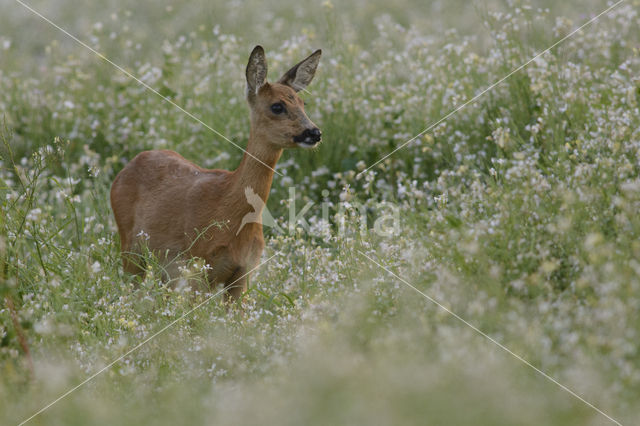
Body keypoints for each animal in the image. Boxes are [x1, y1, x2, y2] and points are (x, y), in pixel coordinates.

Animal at [110, 45, 322, 302]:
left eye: (303, 103)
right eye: (277, 106)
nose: (314, 132)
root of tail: (126, 168)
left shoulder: (244, 272)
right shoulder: (198, 265)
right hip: (131, 249)